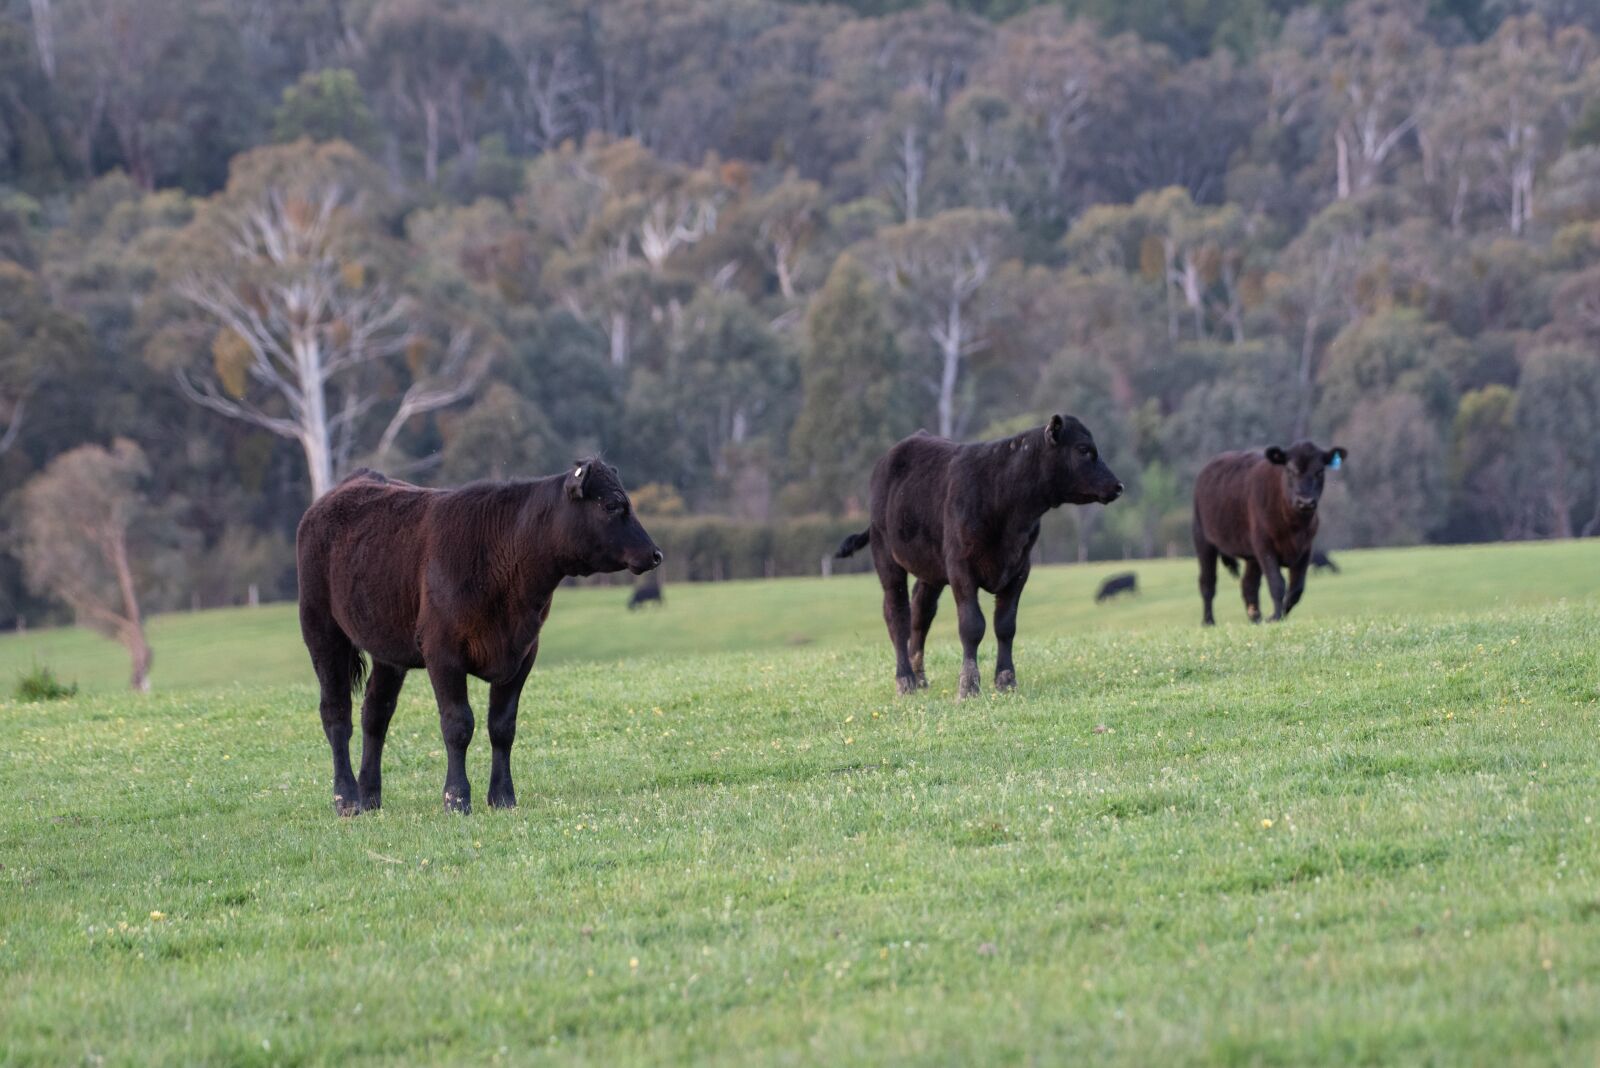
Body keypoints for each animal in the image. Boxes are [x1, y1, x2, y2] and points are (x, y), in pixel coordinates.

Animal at [296, 460, 662, 816]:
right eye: (612, 505)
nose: (655, 553)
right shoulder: (442, 652)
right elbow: (458, 725)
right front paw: (457, 799)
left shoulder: (523, 652)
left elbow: (502, 726)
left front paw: (503, 796)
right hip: (321, 629)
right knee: (336, 713)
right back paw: (347, 799)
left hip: (388, 651)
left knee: (375, 713)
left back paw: (370, 796)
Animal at [836, 416, 1123, 698]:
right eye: (1083, 450)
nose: (1118, 486)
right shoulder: (960, 567)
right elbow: (972, 626)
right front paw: (968, 686)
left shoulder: (1020, 568)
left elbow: (1005, 626)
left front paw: (1006, 680)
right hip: (886, 555)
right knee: (897, 614)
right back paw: (905, 681)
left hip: (931, 569)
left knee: (921, 612)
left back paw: (920, 677)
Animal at [1192, 441, 1347, 626]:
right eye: (1290, 470)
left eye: (1320, 471)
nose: (1305, 502)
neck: (1294, 525)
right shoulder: (1264, 546)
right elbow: (1277, 583)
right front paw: (1276, 617)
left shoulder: (1305, 549)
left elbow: (1297, 589)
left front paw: (1276, 616)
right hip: (1203, 538)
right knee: (1207, 582)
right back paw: (1208, 621)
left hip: (1252, 557)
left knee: (1248, 585)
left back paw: (1256, 618)